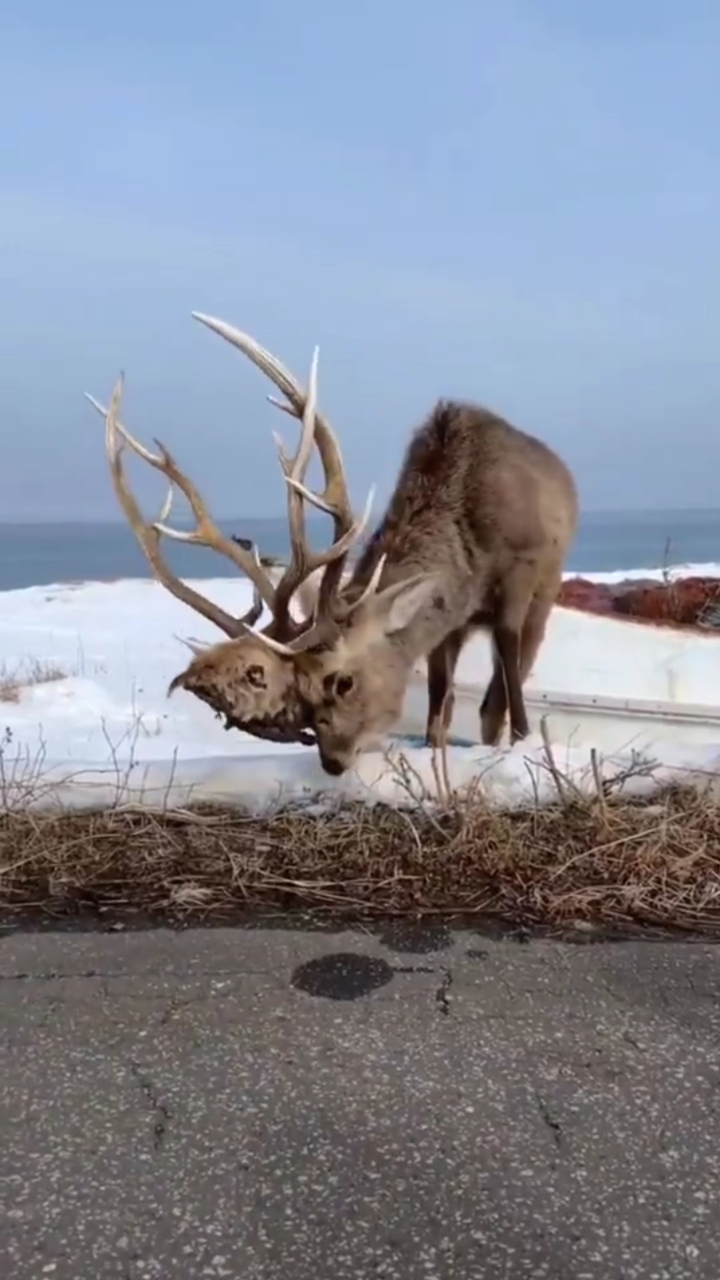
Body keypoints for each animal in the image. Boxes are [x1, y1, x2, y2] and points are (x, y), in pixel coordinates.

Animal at [87, 314, 576, 773]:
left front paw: (524, 738)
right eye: (300, 696)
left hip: (547, 583)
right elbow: (440, 703)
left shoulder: (522, 568)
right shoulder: (449, 624)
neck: (470, 549)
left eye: (343, 682)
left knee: (506, 677)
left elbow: (507, 663)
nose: (333, 761)